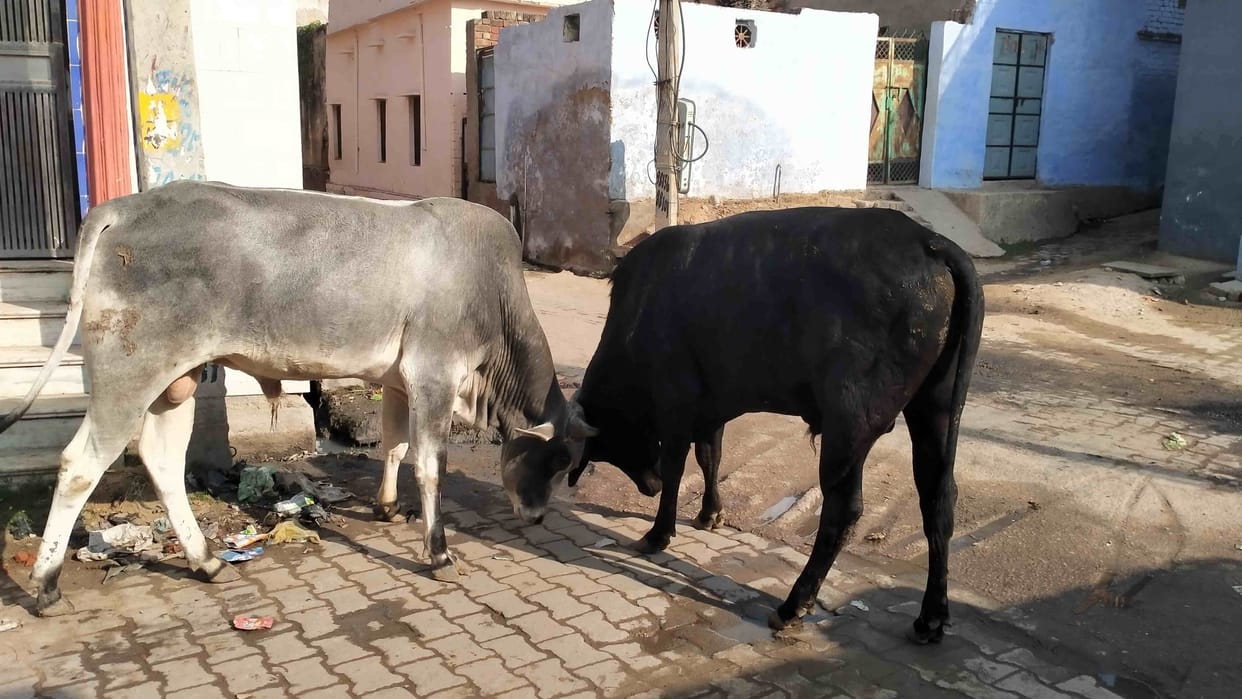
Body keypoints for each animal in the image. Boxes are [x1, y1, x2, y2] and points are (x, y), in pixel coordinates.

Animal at [0, 180, 596, 617]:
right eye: (552, 459)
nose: (537, 517)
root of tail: (120, 208)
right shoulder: (434, 374)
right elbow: (430, 465)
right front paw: (439, 551)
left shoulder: (399, 379)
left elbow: (394, 446)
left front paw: (386, 507)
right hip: (129, 372)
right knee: (80, 465)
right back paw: (46, 584)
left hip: (177, 380)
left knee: (162, 462)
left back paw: (205, 562)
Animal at [562, 206, 984, 642]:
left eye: (611, 443)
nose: (650, 486)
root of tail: (928, 240)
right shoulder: (711, 408)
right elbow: (710, 457)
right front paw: (709, 514)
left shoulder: (675, 403)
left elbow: (678, 466)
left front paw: (658, 533)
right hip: (934, 408)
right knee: (938, 499)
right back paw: (931, 616)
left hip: (849, 424)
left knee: (843, 510)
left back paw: (793, 605)